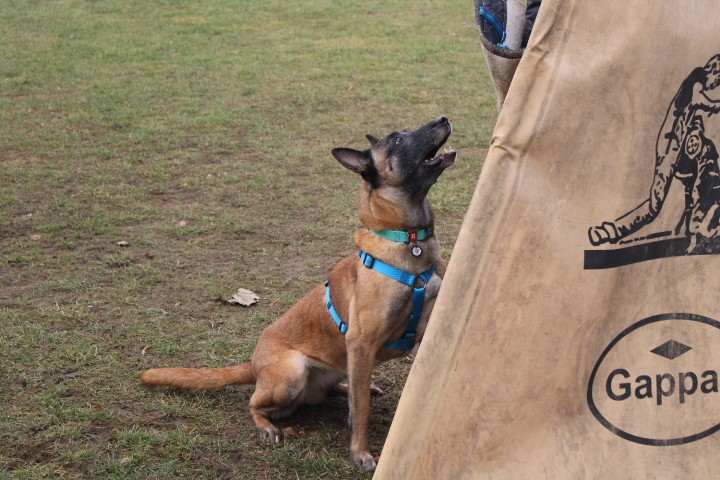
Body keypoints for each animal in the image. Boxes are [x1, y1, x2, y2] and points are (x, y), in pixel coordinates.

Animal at [141, 117, 456, 472]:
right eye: (398, 140)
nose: (443, 118)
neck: (408, 241)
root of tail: (254, 364)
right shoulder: (361, 343)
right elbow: (361, 412)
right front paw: (360, 452)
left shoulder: (424, 323)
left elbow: (360, 401)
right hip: (292, 372)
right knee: (255, 403)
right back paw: (267, 427)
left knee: (344, 387)